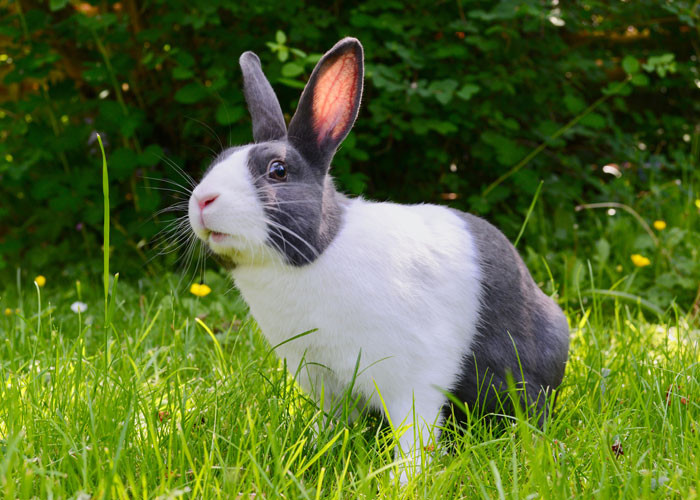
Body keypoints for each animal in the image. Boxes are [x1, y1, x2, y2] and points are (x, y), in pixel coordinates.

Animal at [188, 37, 570, 482]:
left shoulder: (411, 377)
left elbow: (415, 431)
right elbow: (329, 422)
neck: (319, 253)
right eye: (218, 161)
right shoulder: (320, 378)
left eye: (278, 171)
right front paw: (313, 451)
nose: (202, 200)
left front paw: (406, 479)